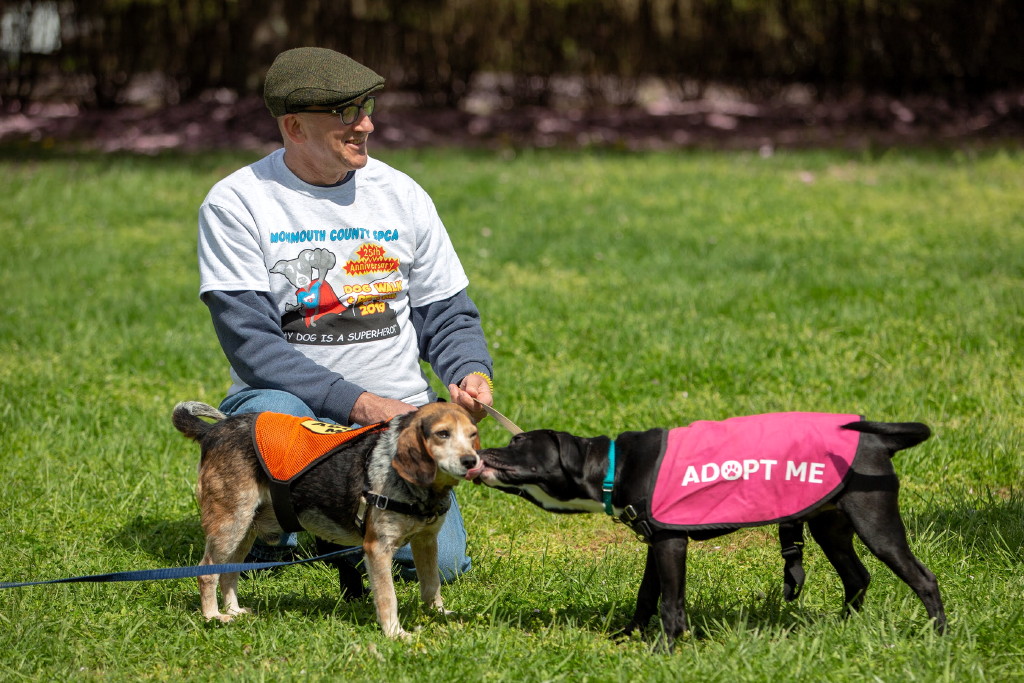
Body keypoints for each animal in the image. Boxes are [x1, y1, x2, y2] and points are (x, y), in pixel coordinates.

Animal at [173, 403, 483, 638]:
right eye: (442, 434)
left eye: (472, 435)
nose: (472, 461)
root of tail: (212, 431)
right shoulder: (377, 548)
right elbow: (388, 597)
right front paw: (394, 633)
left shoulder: (426, 542)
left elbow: (431, 585)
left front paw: (439, 615)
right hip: (230, 524)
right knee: (206, 572)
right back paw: (213, 616)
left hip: (244, 529)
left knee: (228, 572)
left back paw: (233, 611)